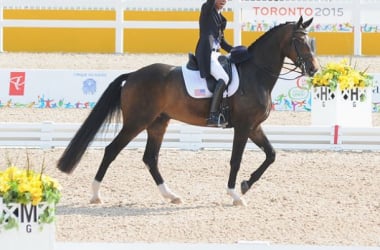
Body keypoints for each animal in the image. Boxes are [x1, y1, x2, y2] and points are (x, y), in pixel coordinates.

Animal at [57, 16, 318, 206]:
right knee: (112, 150)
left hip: (158, 123)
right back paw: (95, 195)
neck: (256, 73)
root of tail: (132, 76)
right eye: (299, 41)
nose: (314, 70)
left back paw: (171, 195)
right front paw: (235, 195)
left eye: (311, 42)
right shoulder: (244, 127)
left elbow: (271, 155)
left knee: (150, 158)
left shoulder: (254, 127)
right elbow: (236, 159)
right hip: (137, 122)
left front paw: (245, 186)